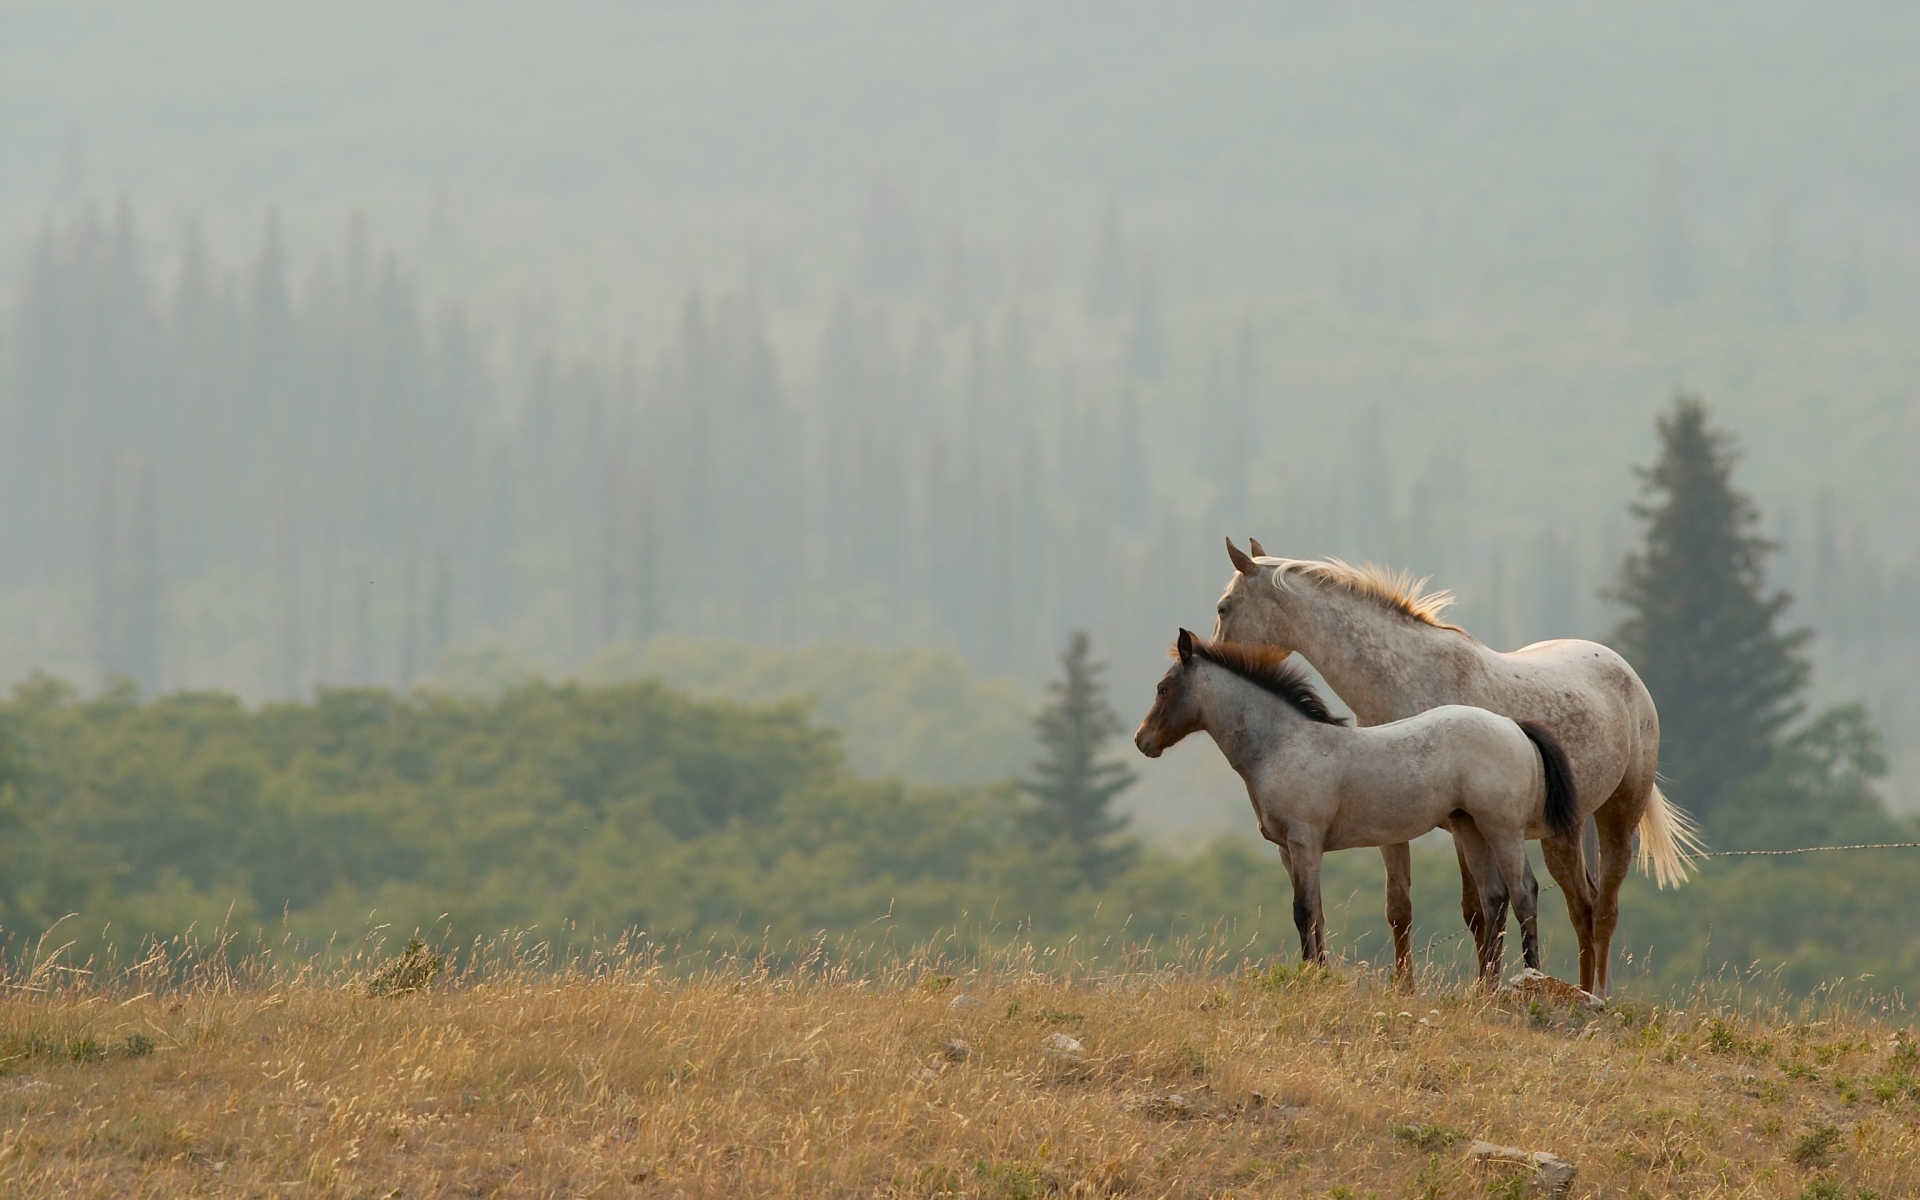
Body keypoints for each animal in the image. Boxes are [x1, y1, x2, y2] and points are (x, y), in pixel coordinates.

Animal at [1135, 629, 1579, 983]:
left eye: (1163, 688)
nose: (1142, 741)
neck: (1282, 744)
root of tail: (1513, 726)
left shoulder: (1305, 841)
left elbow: (1303, 911)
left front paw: (1311, 979)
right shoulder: (1288, 851)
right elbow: (1316, 913)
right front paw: (1319, 974)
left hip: (1503, 828)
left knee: (1523, 892)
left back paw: (1529, 978)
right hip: (1469, 826)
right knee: (1493, 897)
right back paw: (1484, 989)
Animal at [1213, 539, 1700, 994]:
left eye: (1223, 607)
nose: (1212, 656)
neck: (1407, 678)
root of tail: (1625, 672)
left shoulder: (1463, 825)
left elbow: (1483, 909)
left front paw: (1486, 984)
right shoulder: (1400, 827)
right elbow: (1404, 908)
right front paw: (1409, 989)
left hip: (1614, 817)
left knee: (1598, 909)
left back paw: (1592, 993)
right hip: (1563, 831)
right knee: (1584, 903)